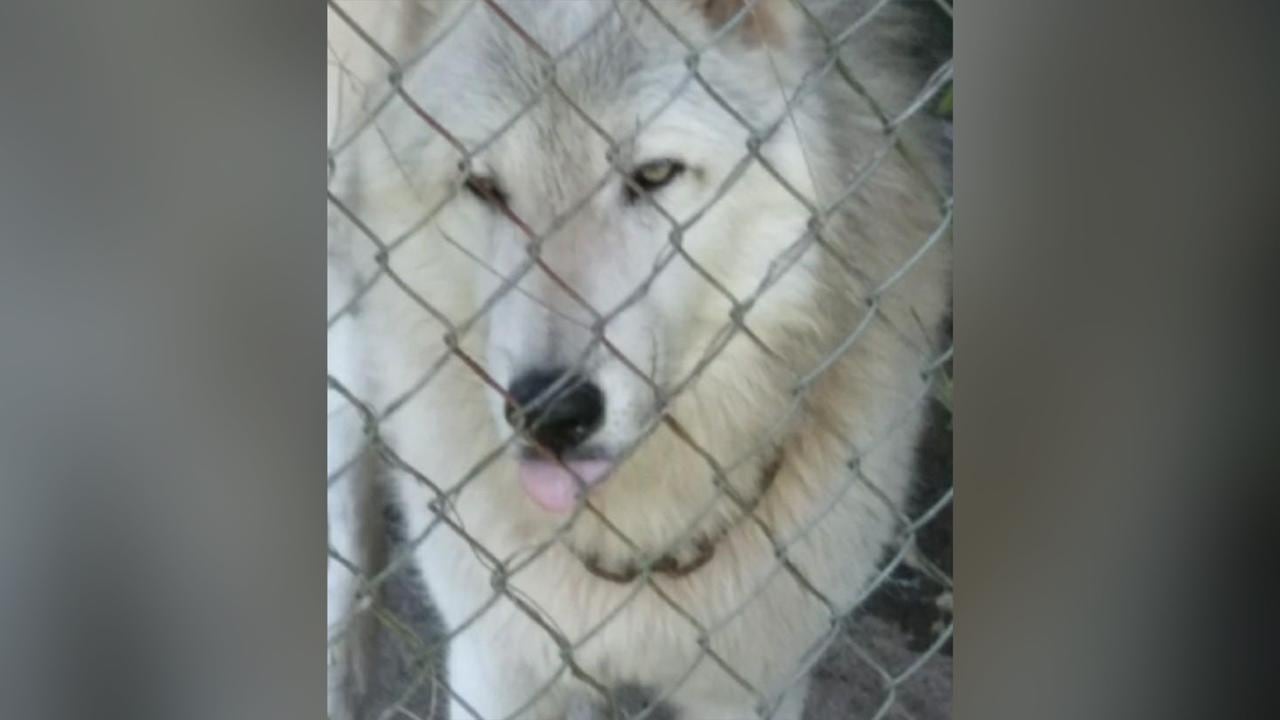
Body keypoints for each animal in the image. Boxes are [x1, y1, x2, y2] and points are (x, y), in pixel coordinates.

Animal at [327, 1, 951, 718]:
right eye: (484, 187)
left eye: (652, 175)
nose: (551, 412)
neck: (636, 536)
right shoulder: (497, 665)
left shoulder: (756, 685)